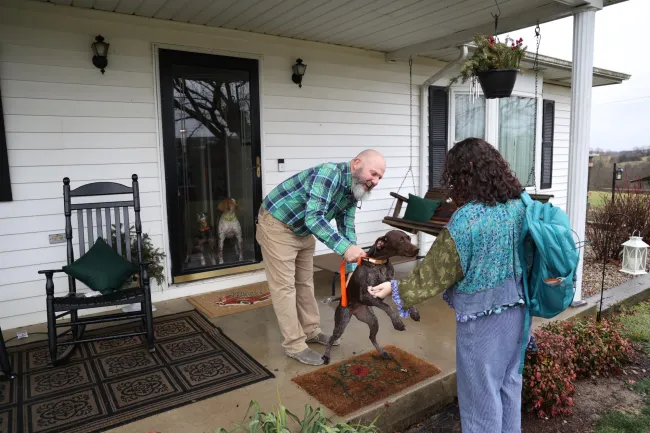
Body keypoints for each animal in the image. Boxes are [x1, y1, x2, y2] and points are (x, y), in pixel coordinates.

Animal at [320, 230, 420, 364]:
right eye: (400, 240)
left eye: (409, 238)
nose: (417, 249)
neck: (379, 263)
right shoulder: (366, 296)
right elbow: (387, 306)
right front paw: (397, 322)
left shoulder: (388, 285)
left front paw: (414, 312)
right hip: (341, 324)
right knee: (331, 338)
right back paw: (326, 355)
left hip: (372, 321)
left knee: (372, 338)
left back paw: (383, 352)